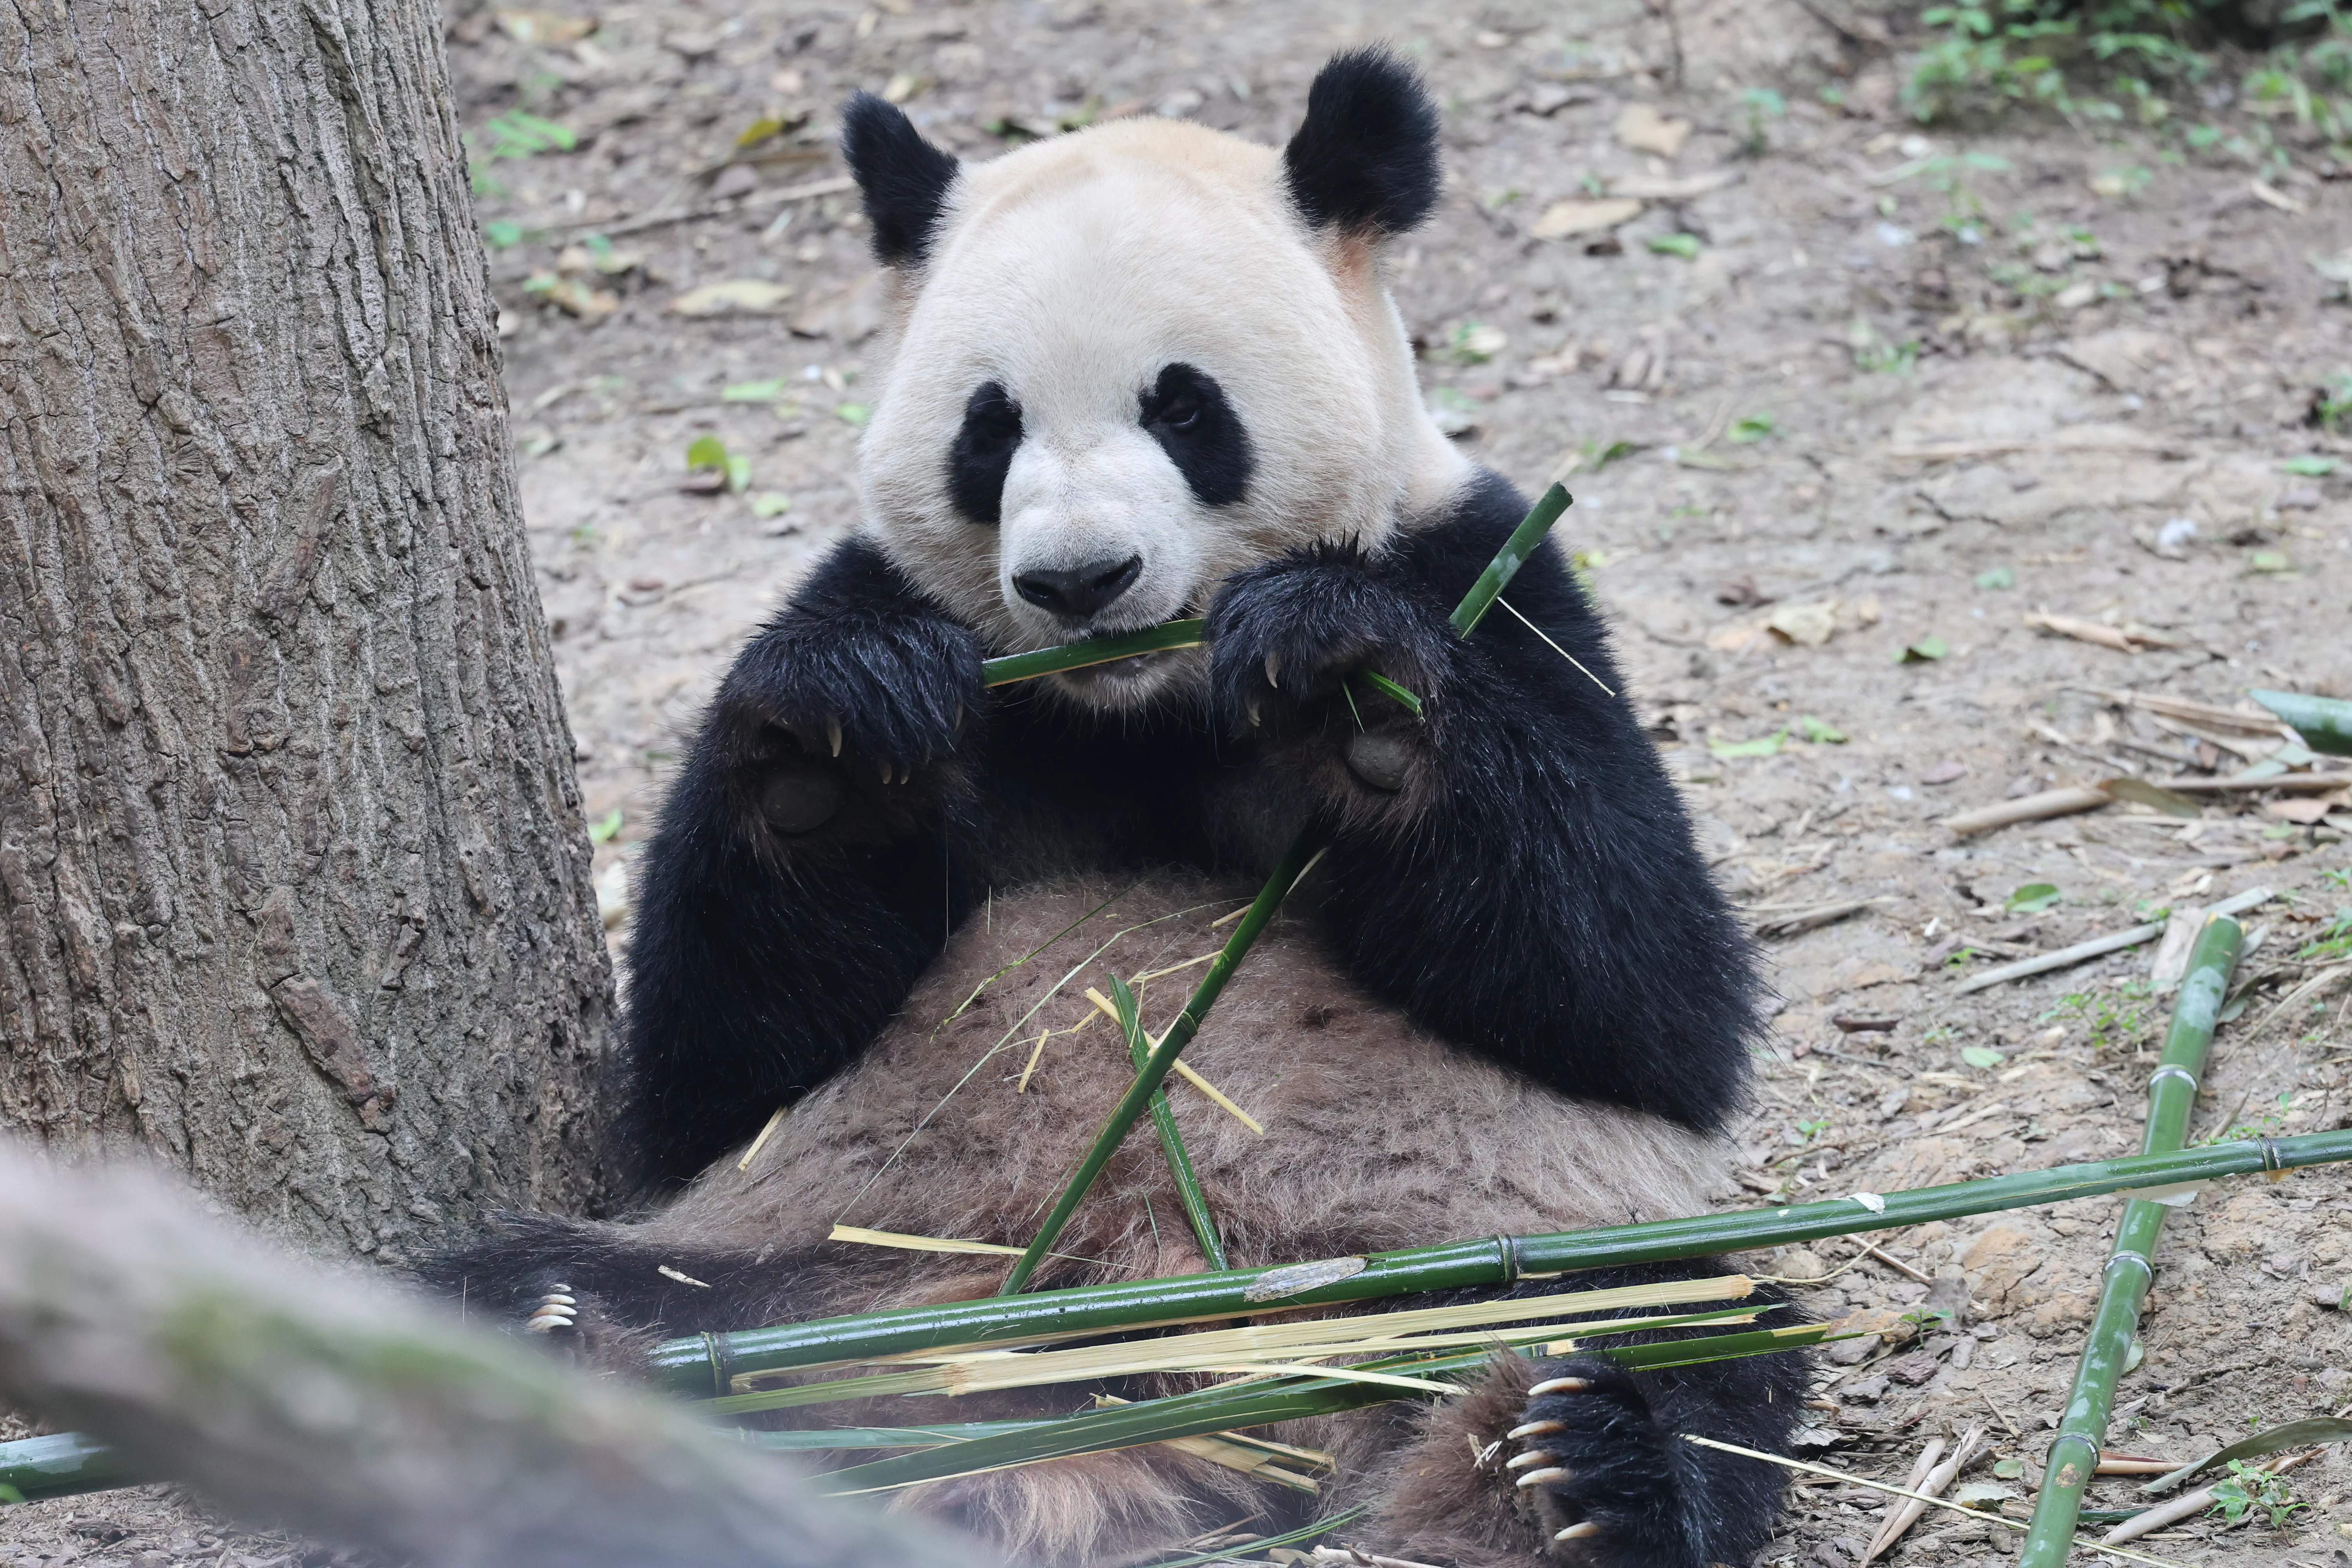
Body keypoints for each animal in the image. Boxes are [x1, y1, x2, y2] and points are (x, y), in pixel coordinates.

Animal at [434, 50, 1806, 1568]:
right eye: (989, 429)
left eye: (1185, 409)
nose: (1079, 580)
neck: (1139, 706)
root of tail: (1136, 1353)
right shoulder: (913, 627)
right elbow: (710, 1072)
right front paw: (826, 745)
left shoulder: (1487, 571)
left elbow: (1647, 999)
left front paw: (1352, 692)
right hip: (826, 1260)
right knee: (544, 1287)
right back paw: (563, 1349)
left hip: (1471, 1245)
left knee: (1680, 1324)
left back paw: (1569, 1468)